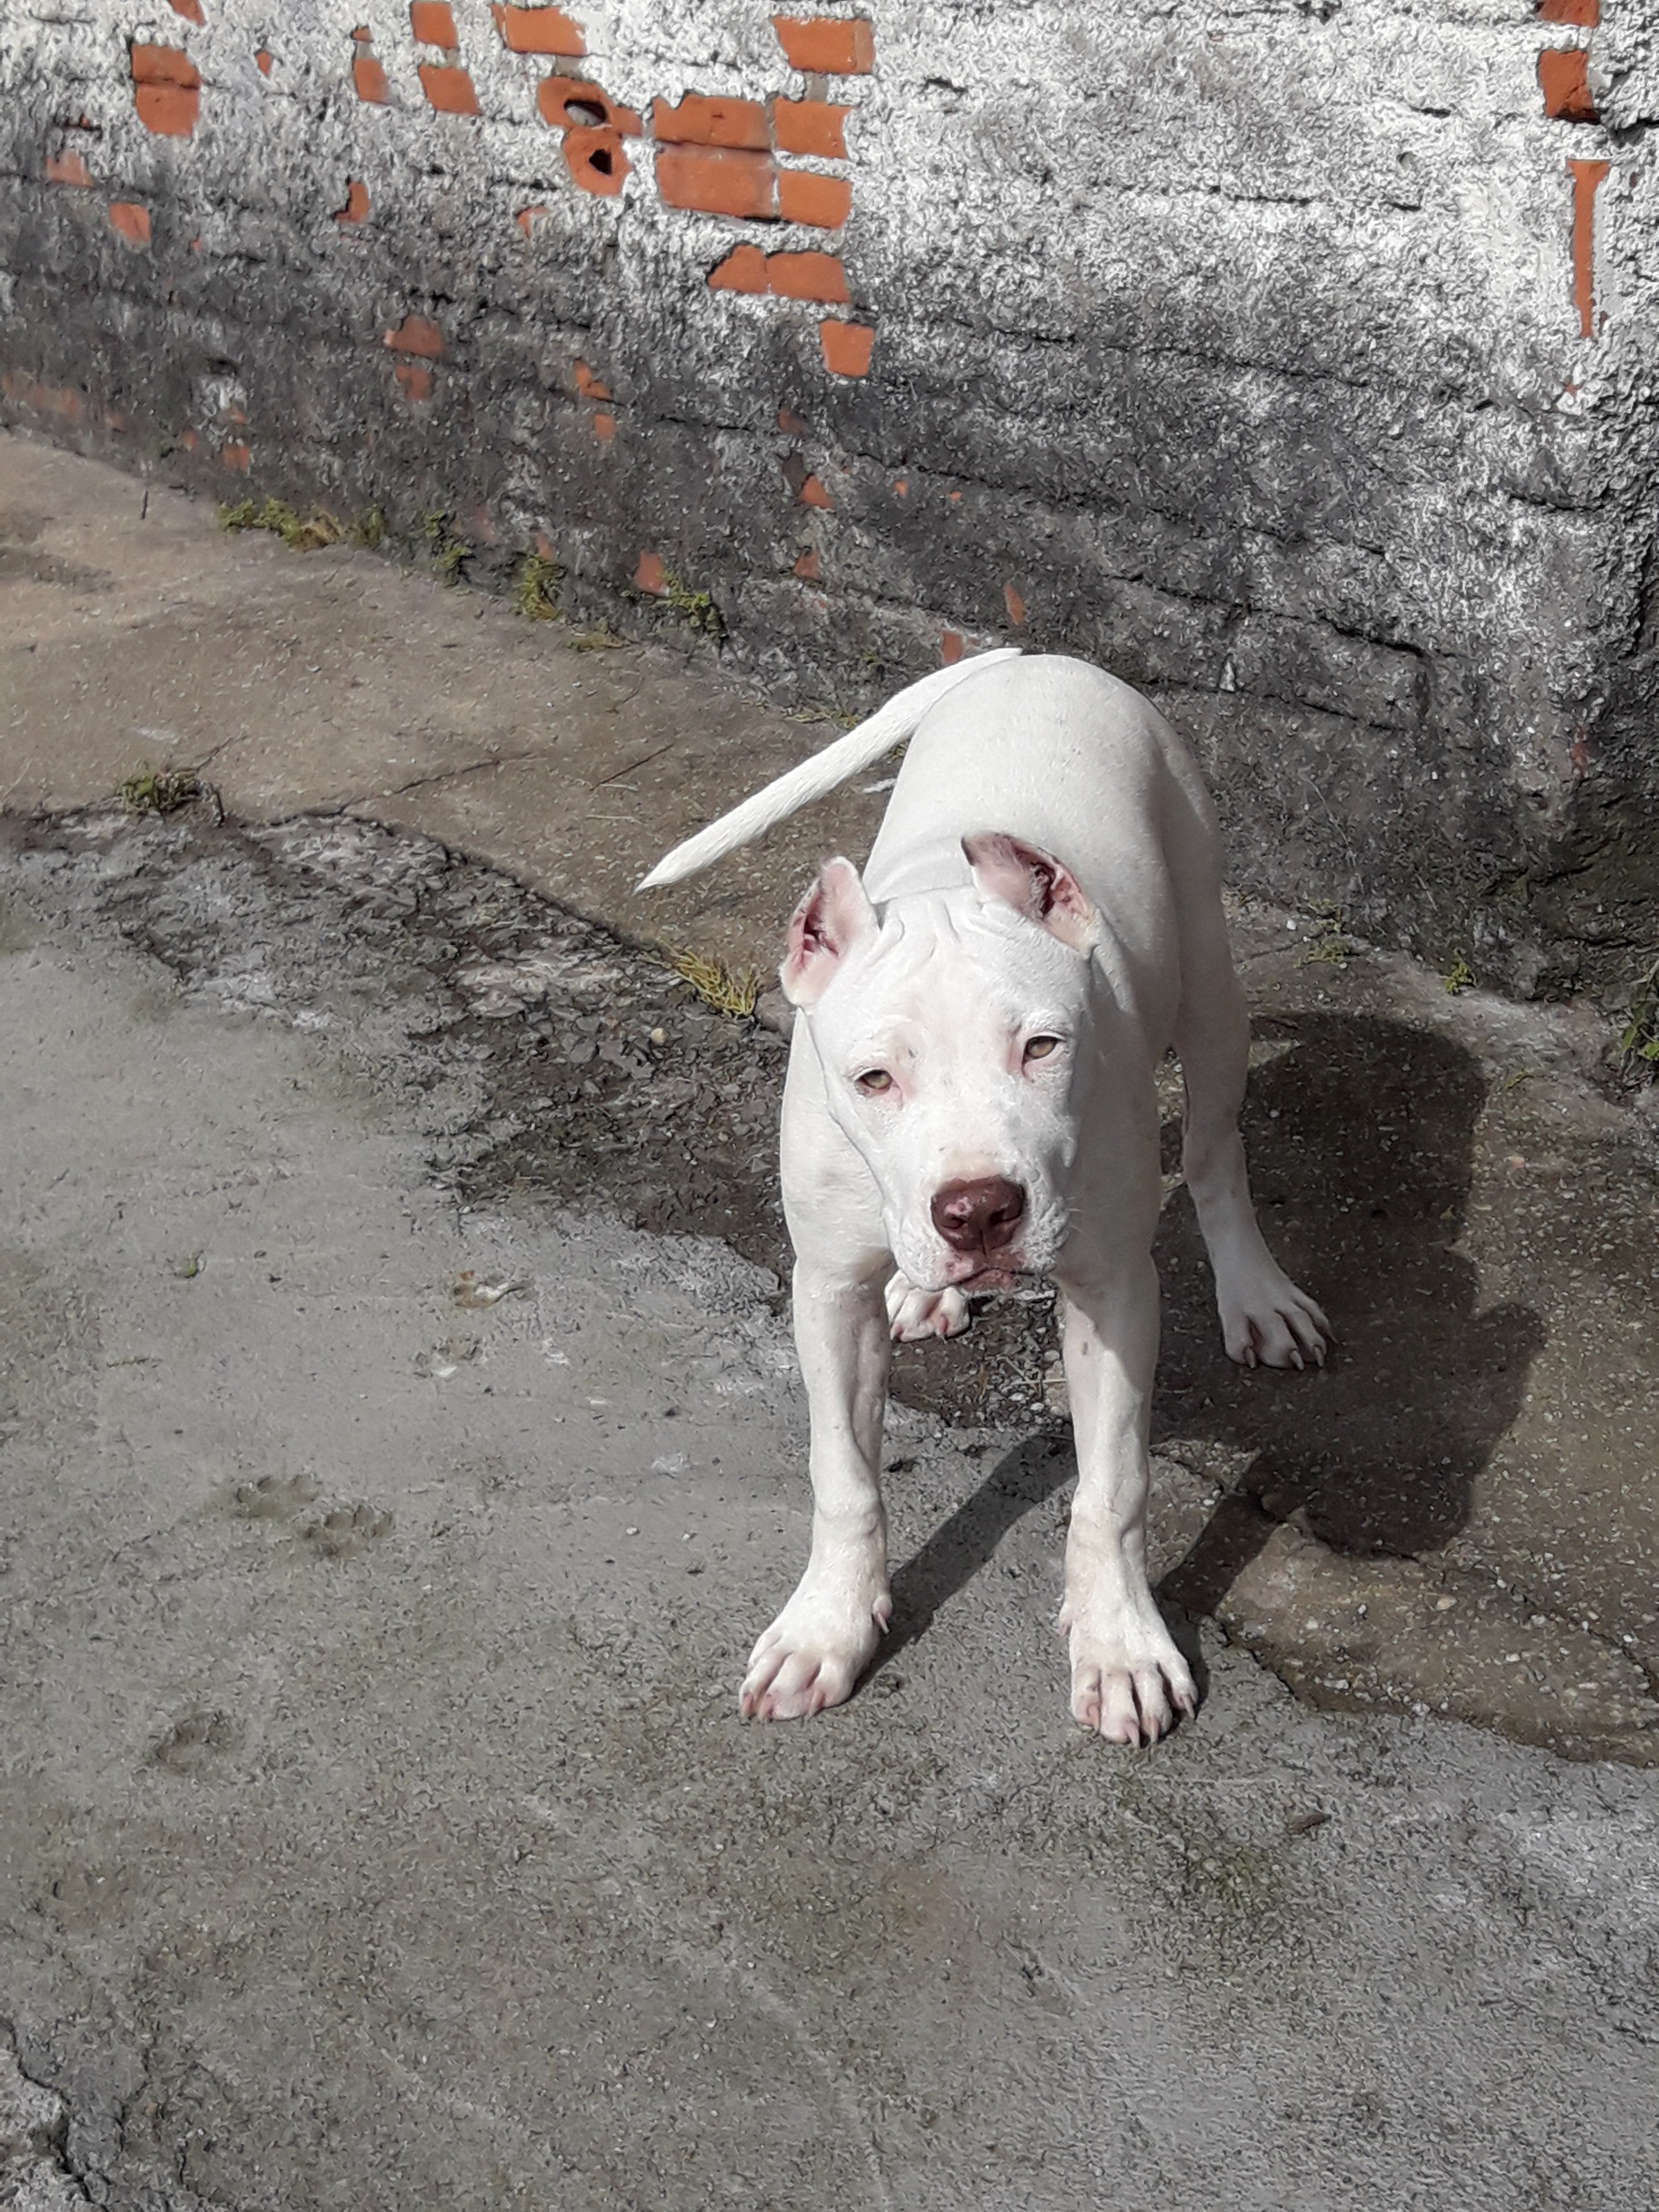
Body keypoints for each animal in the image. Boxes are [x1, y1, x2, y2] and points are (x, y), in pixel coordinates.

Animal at [641, 652, 1328, 1744]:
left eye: (1043, 1046)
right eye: (875, 1079)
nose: (977, 1212)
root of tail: (1036, 657)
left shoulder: (1113, 1292)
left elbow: (1112, 1488)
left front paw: (1120, 1645)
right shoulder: (827, 1291)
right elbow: (842, 1474)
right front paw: (829, 1625)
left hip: (1212, 988)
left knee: (1217, 1155)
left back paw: (1258, 1296)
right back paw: (928, 1291)